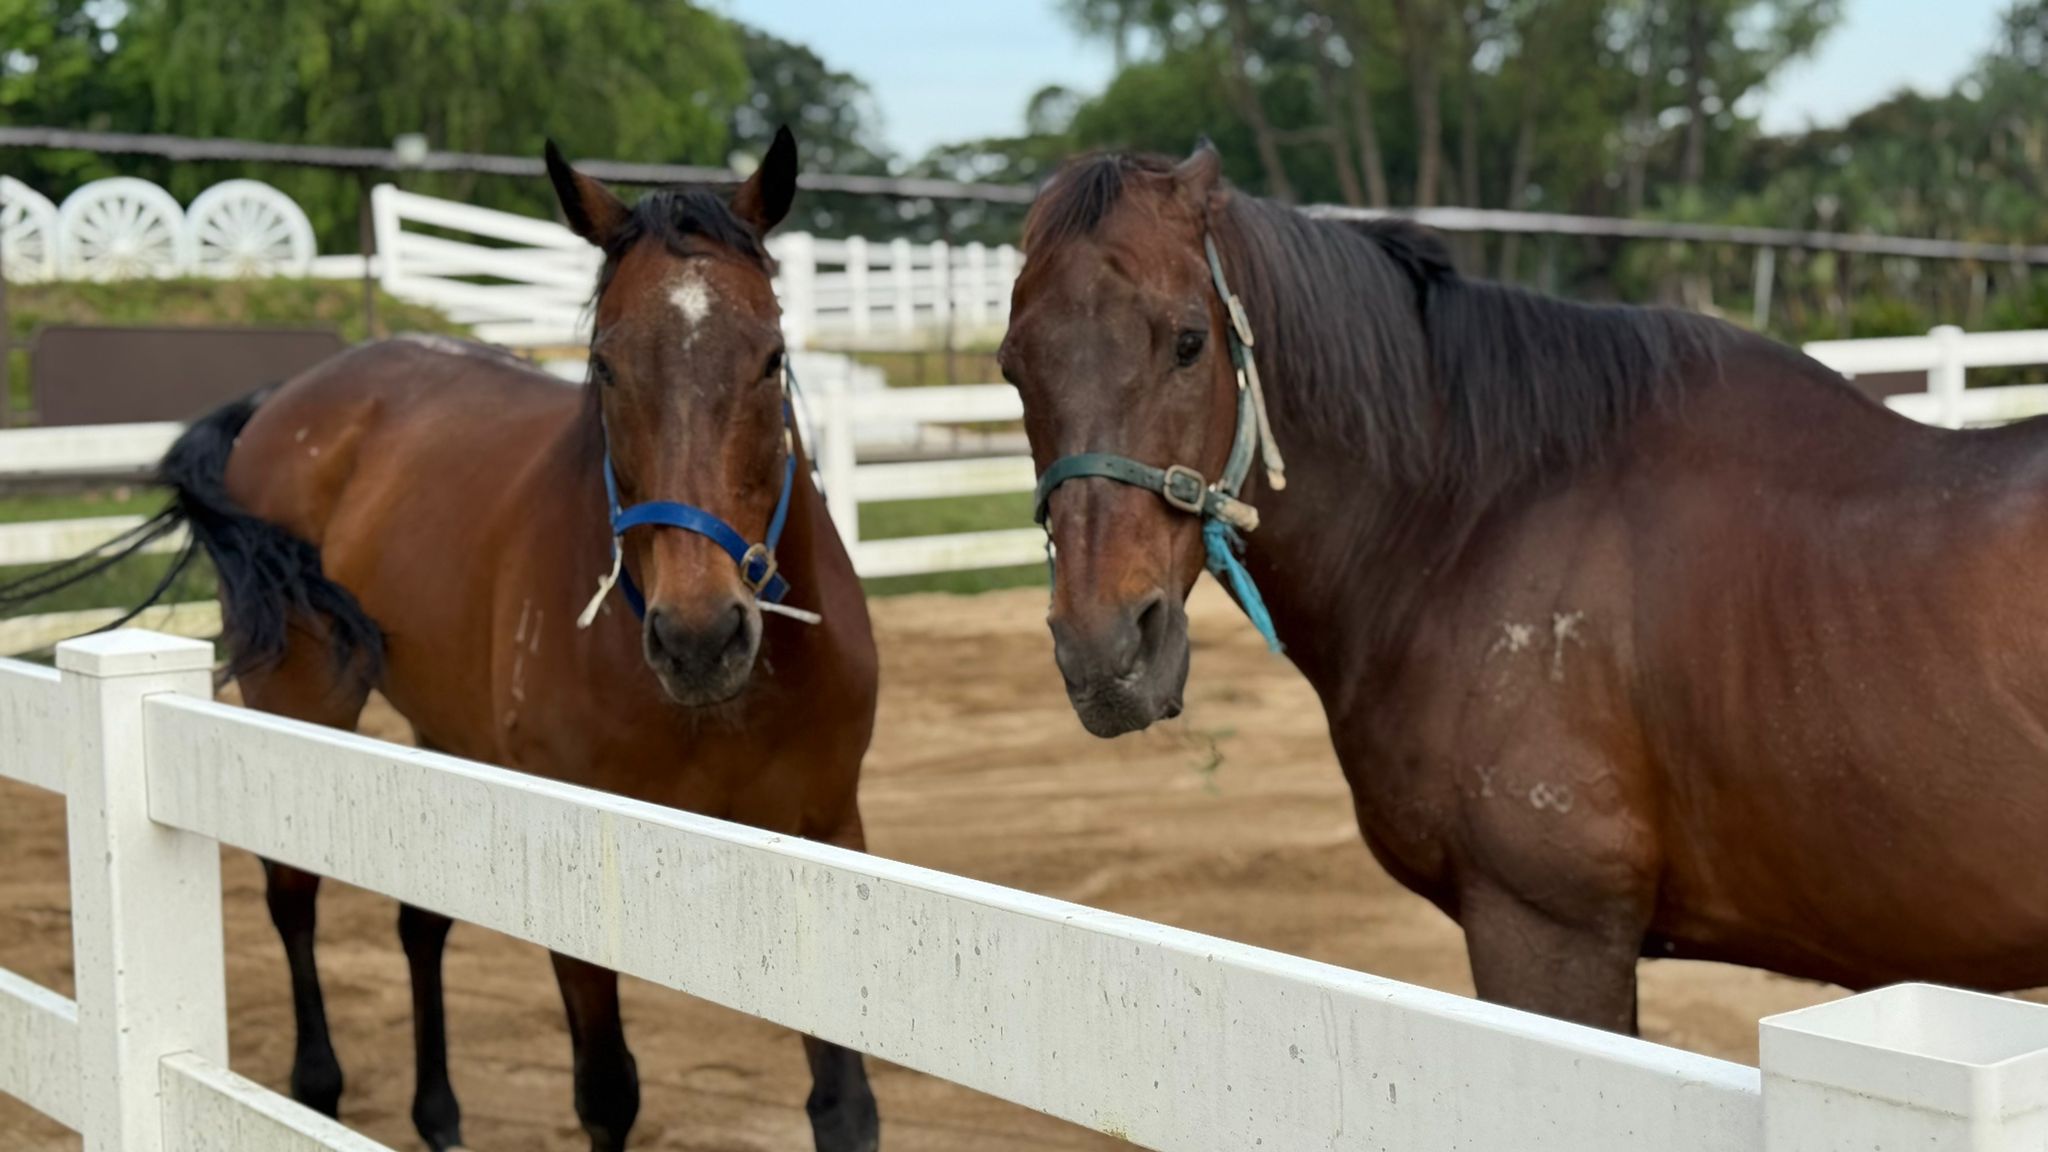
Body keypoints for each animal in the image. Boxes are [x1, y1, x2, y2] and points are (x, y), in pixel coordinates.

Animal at [11, 131, 881, 1151]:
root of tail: (285, 400)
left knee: (419, 921)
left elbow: (844, 1106)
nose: (700, 636)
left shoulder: (826, 836)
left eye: (772, 356)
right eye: (605, 365)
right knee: (292, 894)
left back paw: (439, 1117)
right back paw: (316, 1089)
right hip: (299, 704)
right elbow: (607, 1092)